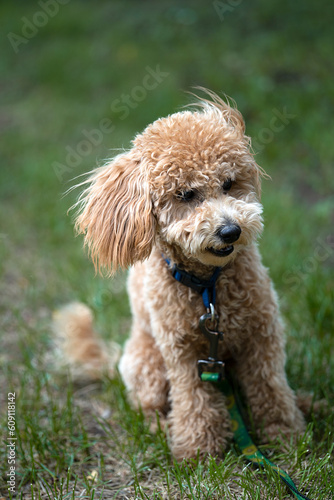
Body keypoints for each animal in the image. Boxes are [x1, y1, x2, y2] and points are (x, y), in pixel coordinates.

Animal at [54, 91, 306, 460]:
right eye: (185, 194)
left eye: (229, 184)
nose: (230, 231)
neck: (208, 288)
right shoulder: (182, 352)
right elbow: (194, 400)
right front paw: (199, 449)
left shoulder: (263, 336)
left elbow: (270, 387)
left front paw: (285, 434)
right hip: (146, 363)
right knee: (145, 407)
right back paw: (162, 429)